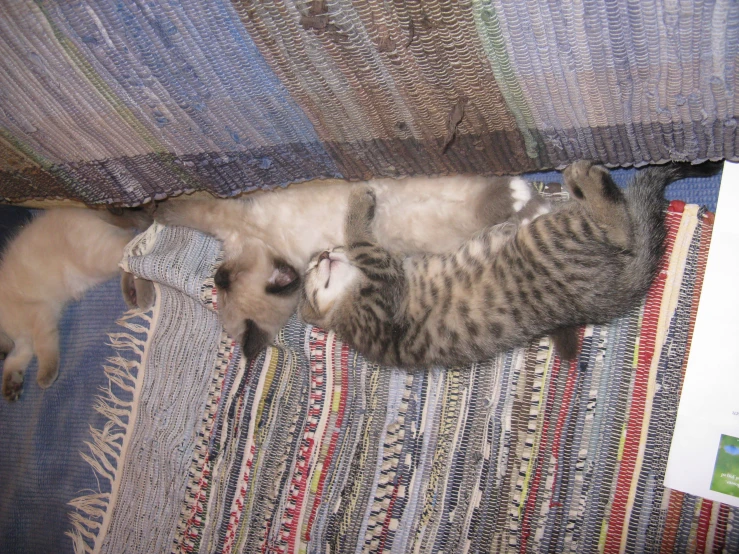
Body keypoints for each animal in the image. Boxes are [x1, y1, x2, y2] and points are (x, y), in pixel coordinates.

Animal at [300, 160, 724, 366]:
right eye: (310, 272)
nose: (322, 255)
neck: (345, 307)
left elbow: (363, 244)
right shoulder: (382, 295)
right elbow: (362, 241)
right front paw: (357, 202)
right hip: (553, 237)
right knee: (618, 229)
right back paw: (585, 179)